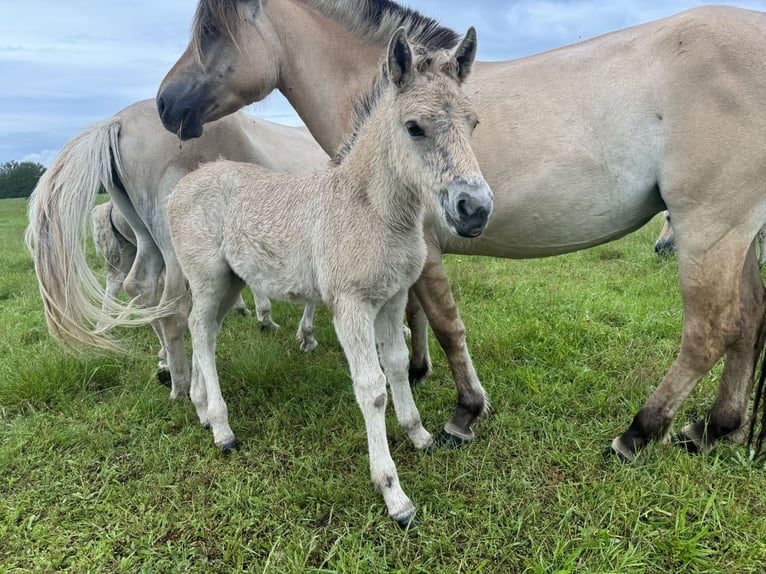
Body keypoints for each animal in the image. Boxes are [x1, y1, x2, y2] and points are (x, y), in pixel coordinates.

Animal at [25, 100, 328, 392]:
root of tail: (119, 122)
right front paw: (302, 333)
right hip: (176, 248)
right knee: (171, 308)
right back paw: (181, 384)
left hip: (147, 239)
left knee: (140, 288)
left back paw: (165, 364)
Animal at [156, 2, 766, 464]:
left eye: (209, 34)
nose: (165, 103)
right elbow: (413, 315)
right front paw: (416, 373)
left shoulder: (424, 247)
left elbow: (446, 324)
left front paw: (463, 412)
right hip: (740, 235)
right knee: (749, 321)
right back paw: (715, 427)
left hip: (708, 229)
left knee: (710, 330)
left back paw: (639, 431)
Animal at [168, 29, 496, 528]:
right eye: (414, 127)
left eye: (473, 123)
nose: (474, 209)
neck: (373, 211)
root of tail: (180, 188)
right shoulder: (351, 306)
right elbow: (372, 388)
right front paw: (394, 495)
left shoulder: (393, 298)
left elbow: (397, 362)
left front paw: (420, 435)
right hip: (206, 277)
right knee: (201, 332)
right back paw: (222, 429)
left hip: (230, 282)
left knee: (204, 330)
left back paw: (204, 409)